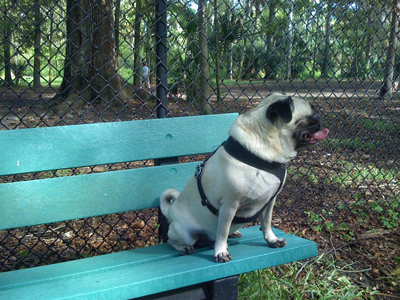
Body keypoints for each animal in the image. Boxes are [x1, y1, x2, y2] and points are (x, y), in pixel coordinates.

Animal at [159, 92, 328, 262]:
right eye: (312, 117)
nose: (320, 118)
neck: (266, 151)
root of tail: (171, 211)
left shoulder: (270, 201)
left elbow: (266, 223)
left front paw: (272, 239)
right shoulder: (229, 205)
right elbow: (222, 232)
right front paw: (220, 252)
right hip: (184, 232)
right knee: (172, 241)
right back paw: (185, 247)